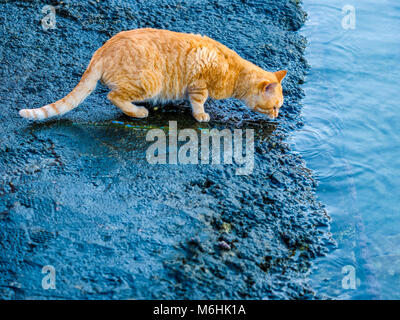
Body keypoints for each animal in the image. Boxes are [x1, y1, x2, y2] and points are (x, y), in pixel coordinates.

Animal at [19, 28, 288, 122]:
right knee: (113, 97)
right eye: (275, 106)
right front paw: (201, 115)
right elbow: (198, 103)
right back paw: (138, 111)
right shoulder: (199, 84)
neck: (235, 72)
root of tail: (101, 51)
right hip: (150, 82)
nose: (277, 116)